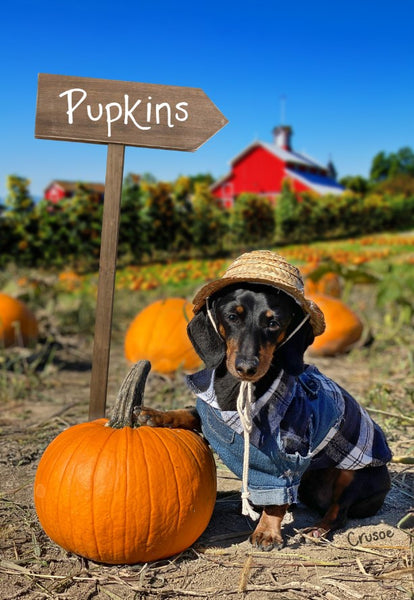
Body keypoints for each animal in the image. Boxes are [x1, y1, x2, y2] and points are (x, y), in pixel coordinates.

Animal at [138, 251, 392, 552]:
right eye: (232, 316)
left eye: (273, 323)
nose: (246, 367)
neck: (241, 391)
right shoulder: (211, 413)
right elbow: (189, 413)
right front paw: (155, 414)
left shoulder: (286, 456)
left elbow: (276, 497)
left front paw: (267, 532)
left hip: (355, 477)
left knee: (338, 512)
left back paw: (316, 529)